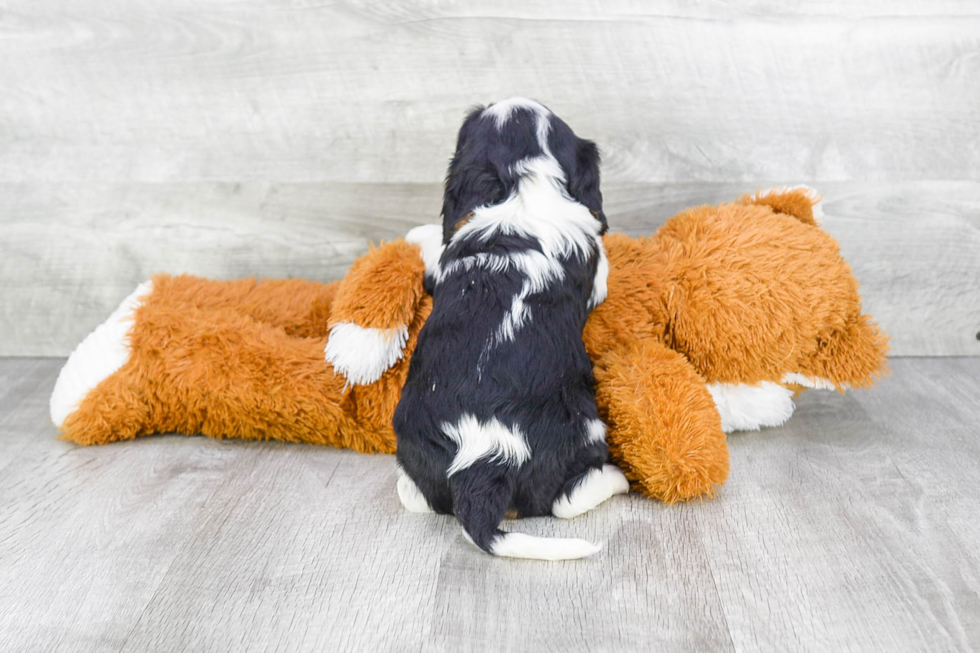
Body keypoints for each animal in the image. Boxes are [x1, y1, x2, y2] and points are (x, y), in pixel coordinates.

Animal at [390, 98, 628, 560]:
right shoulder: (596, 273)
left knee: (416, 496)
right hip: (579, 435)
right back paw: (618, 479)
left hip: (414, 445)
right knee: (569, 499)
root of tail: (483, 461)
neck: (523, 185)